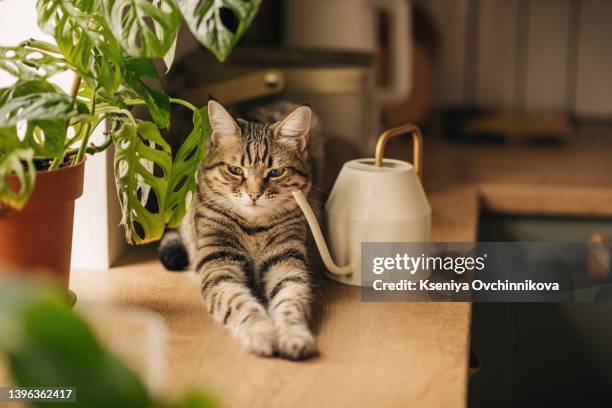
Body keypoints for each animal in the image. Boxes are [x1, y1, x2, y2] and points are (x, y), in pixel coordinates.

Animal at [159, 100, 316, 358]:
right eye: (235, 170)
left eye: (275, 172)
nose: (254, 194)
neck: (254, 227)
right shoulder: (219, 265)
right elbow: (239, 303)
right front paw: (260, 332)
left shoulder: (286, 262)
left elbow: (291, 301)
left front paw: (293, 335)